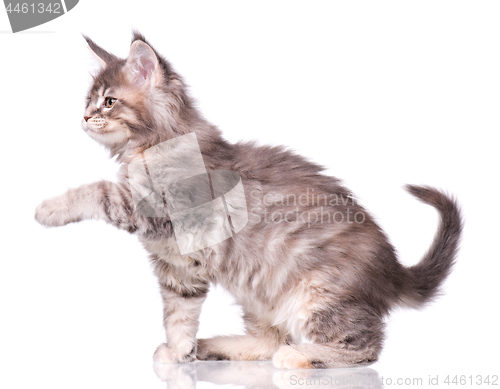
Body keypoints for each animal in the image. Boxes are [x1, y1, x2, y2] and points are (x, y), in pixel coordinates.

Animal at [35, 32, 462, 366]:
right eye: (88, 100)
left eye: (109, 102)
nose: (84, 117)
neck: (153, 147)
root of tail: (392, 270)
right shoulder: (178, 267)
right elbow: (179, 313)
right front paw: (179, 352)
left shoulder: (161, 210)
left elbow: (98, 190)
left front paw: (49, 209)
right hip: (257, 291)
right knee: (271, 338)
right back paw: (215, 346)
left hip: (316, 292)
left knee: (365, 346)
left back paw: (302, 356)